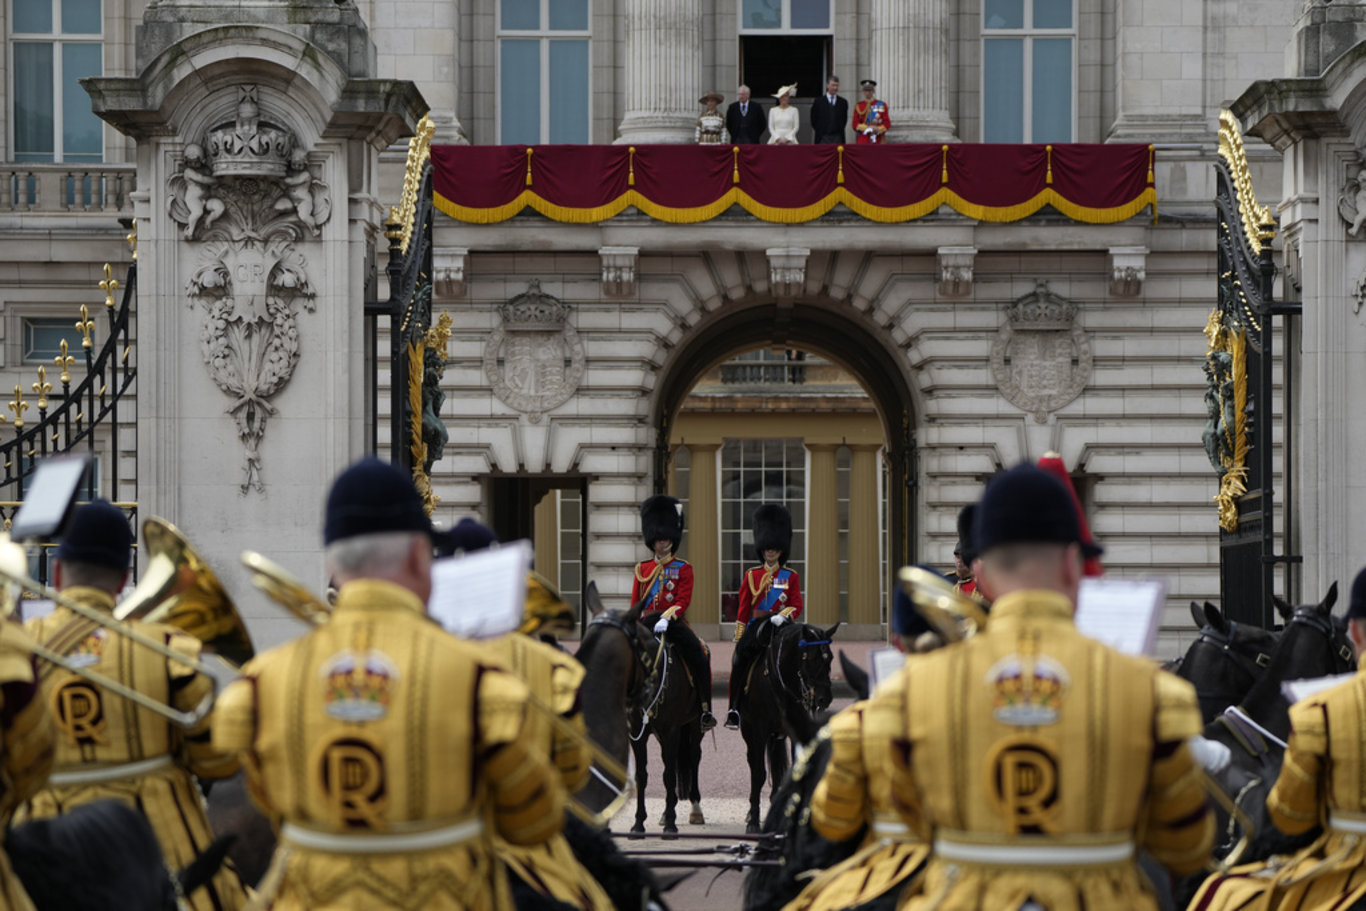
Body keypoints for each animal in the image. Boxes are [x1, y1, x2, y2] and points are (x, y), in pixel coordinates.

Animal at [732, 620, 835, 835]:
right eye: (812, 658)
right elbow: (759, 773)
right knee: (754, 763)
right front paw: (753, 821)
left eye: (830, 657)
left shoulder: (795, 732)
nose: (825, 698)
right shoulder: (758, 731)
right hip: (749, 732)